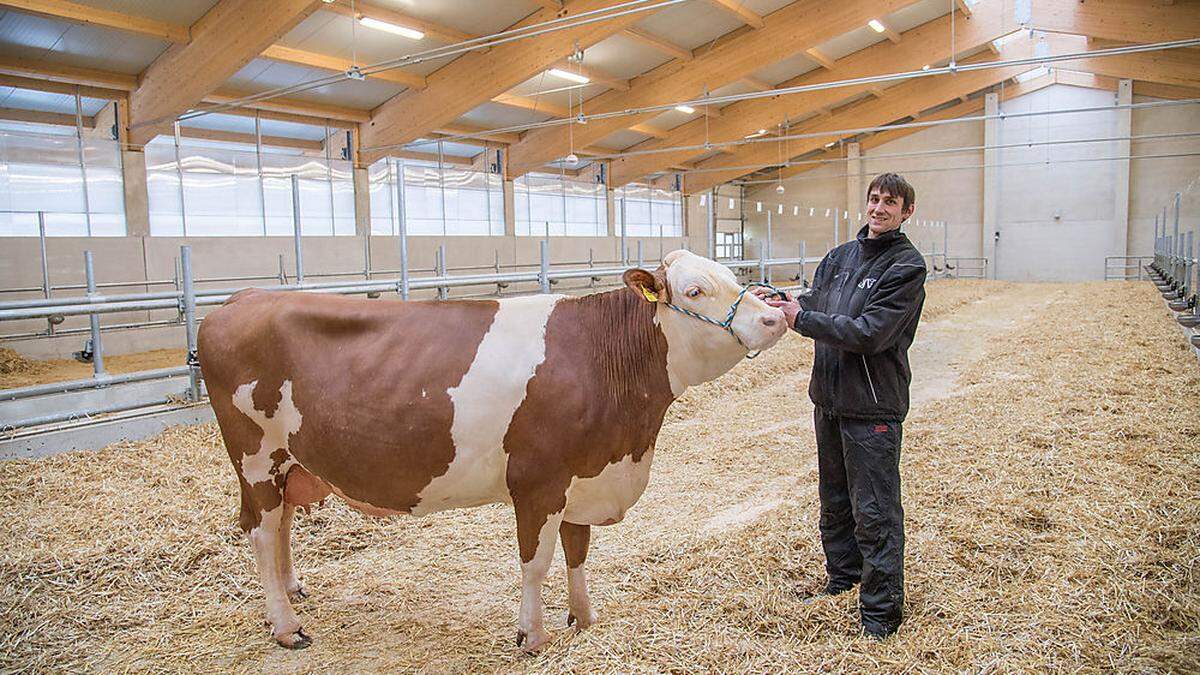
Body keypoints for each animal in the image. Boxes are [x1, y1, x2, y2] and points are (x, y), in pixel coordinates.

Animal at [196, 249, 787, 648]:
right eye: (694, 291)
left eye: (732, 277)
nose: (775, 316)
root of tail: (245, 299)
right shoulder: (538, 480)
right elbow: (536, 561)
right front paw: (532, 636)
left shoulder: (583, 475)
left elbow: (577, 551)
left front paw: (583, 618)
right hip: (255, 458)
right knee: (260, 531)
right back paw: (286, 627)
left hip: (287, 463)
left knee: (281, 526)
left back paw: (291, 593)